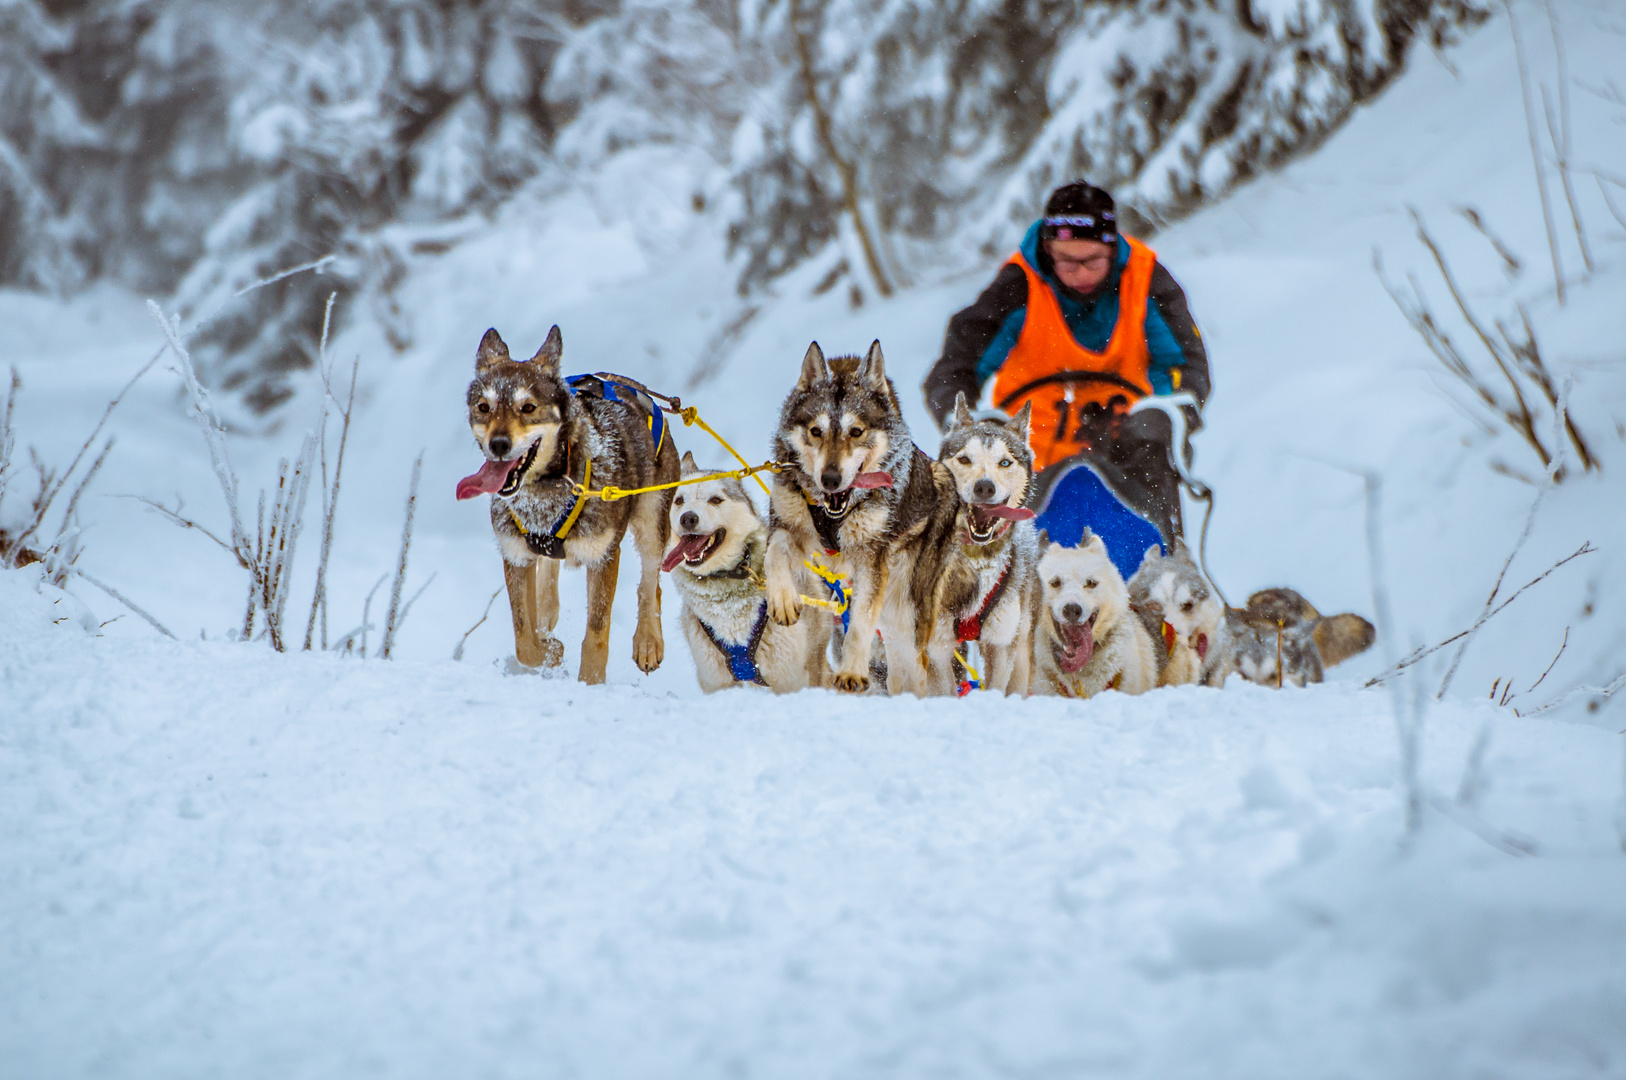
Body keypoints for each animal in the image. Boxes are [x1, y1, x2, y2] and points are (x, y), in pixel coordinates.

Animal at [458, 326, 679, 683]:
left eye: (528, 407)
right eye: (484, 406)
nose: (498, 444)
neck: (544, 493)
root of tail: (632, 385)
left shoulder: (603, 557)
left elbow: (596, 636)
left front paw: (590, 683)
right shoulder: (515, 556)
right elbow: (524, 639)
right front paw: (550, 650)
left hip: (651, 522)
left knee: (650, 584)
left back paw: (647, 642)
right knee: (548, 582)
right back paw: (547, 616)